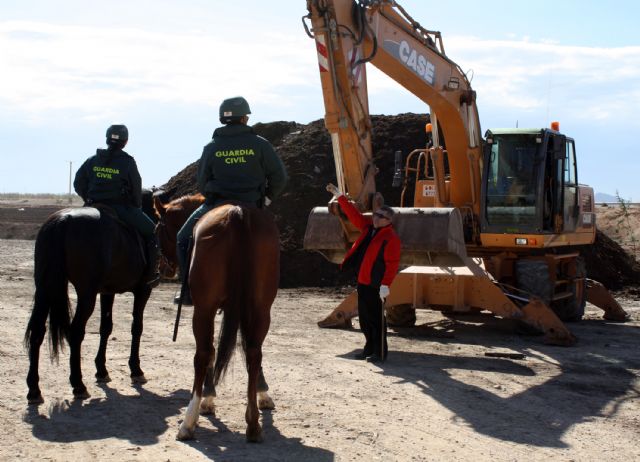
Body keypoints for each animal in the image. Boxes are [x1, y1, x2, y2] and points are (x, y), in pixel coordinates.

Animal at [24, 207, 155, 404]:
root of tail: (63, 220)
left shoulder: (107, 292)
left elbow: (106, 327)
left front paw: (101, 370)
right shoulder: (143, 290)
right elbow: (137, 328)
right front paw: (136, 370)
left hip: (44, 289)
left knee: (37, 331)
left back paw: (34, 390)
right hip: (86, 294)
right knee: (76, 332)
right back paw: (78, 385)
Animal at [154, 194, 278, 440]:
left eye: (158, 230)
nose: (163, 269)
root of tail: (238, 213)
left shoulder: (207, 308)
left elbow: (210, 352)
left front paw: (208, 398)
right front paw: (263, 394)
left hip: (204, 309)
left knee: (203, 354)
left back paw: (188, 422)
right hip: (261, 308)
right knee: (254, 352)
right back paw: (253, 424)